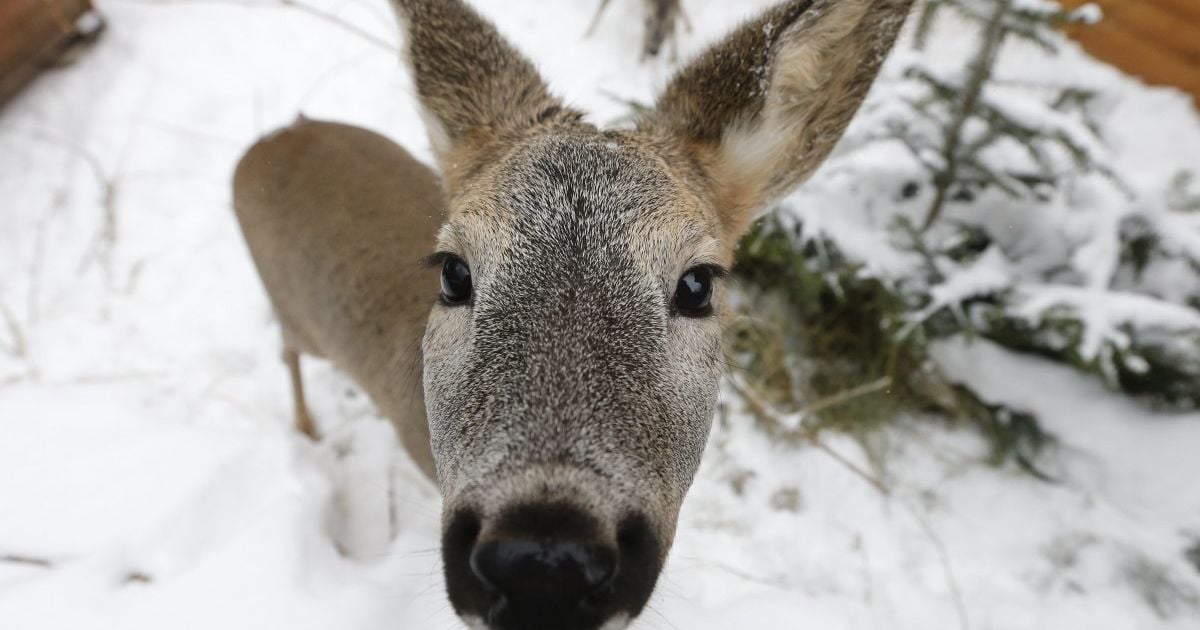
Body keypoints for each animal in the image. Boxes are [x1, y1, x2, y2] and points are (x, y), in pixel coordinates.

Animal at [232, 1, 914, 628]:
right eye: (453, 272)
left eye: (698, 284)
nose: (544, 562)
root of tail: (270, 140)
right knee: (287, 350)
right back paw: (308, 430)